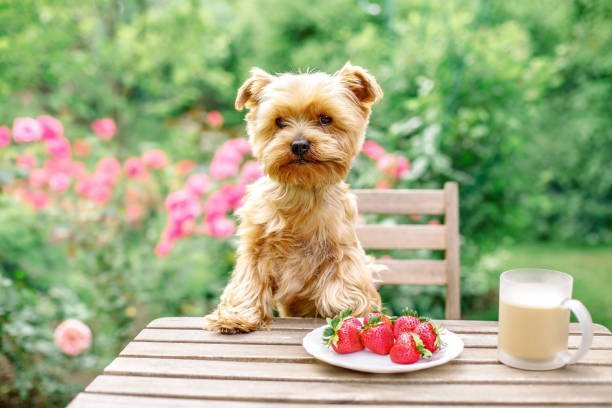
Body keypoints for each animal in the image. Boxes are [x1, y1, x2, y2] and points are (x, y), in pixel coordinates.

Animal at [208, 62, 384, 334]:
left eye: (325, 119)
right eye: (279, 121)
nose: (299, 144)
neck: (301, 189)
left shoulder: (341, 247)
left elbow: (345, 279)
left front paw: (351, 310)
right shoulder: (255, 247)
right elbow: (247, 282)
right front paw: (236, 316)